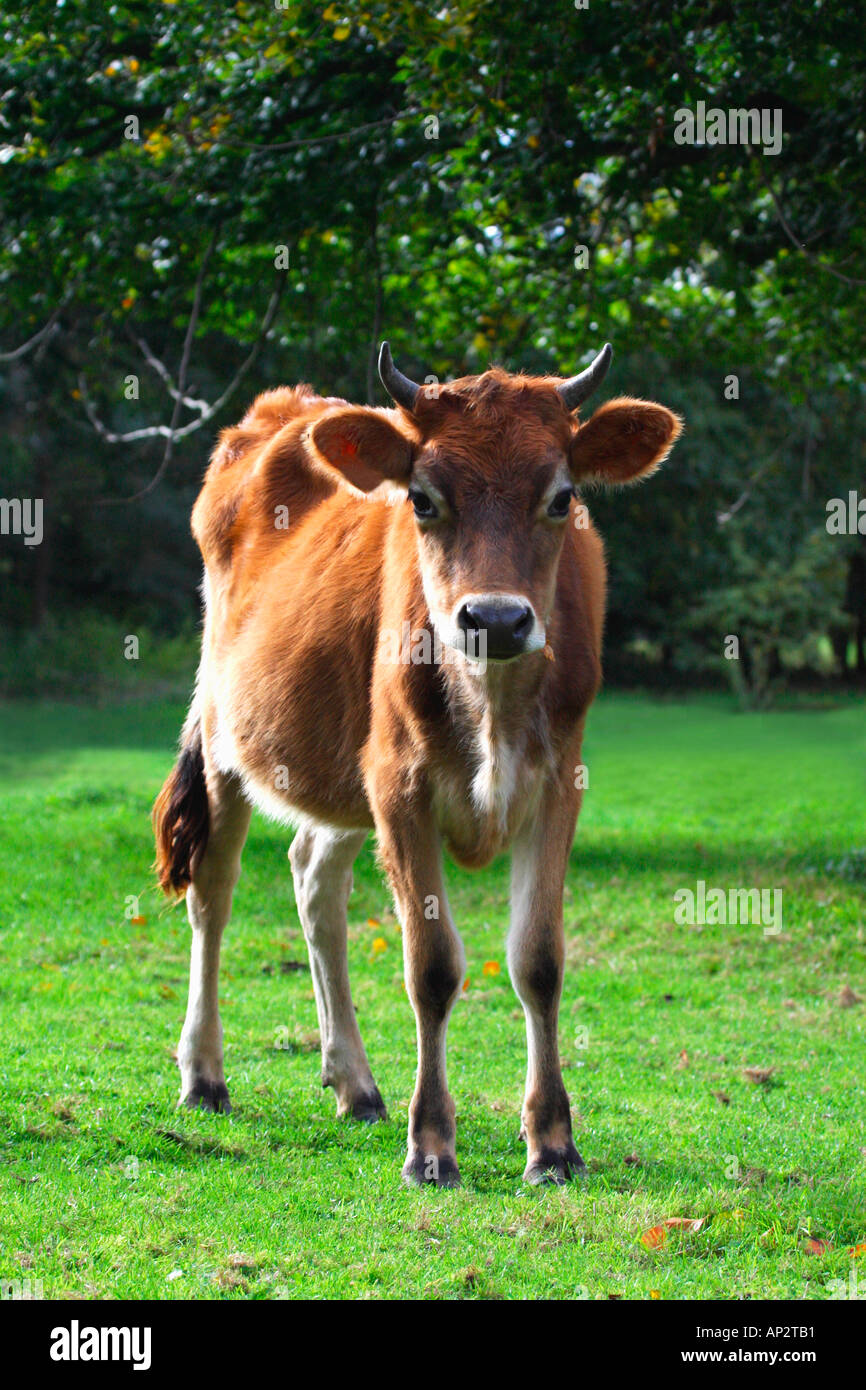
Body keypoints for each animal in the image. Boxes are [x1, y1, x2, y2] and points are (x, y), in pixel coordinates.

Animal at [153, 342, 682, 1187]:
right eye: (424, 500)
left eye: (562, 497)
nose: (495, 618)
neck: (490, 705)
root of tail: (284, 407)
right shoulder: (400, 787)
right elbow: (430, 966)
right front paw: (432, 1144)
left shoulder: (557, 784)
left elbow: (538, 961)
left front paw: (552, 1143)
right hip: (226, 738)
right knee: (213, 890)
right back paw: (204, 1074)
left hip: (341, 770)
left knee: (314, 883)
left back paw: (355, 1083)